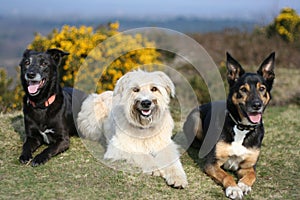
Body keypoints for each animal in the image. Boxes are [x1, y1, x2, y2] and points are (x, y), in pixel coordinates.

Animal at [183, 52, 274, 199]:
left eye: (262, 89)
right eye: (243, 89)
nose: (257, 105)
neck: (241, 127)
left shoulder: (248, 166)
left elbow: (252, 175)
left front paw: (243, 185)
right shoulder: (212, 163)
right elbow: (226, 175)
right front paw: (234, 188)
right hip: (195, 117)